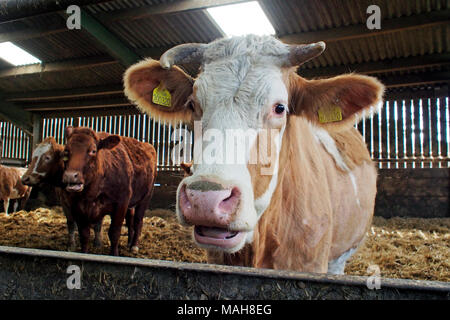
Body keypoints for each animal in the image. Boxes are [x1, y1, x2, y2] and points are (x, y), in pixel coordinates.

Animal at [61, 126, 156, 256]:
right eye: (66, 150)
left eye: (93, 151)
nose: (70, 176)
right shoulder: (77, 207)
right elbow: (84, 235)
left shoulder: (121, 203)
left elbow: (114, 232)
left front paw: (114, 254)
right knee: (130, 220)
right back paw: (129, 242)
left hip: (146, 197)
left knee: (138, 221)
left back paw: (134, 245)